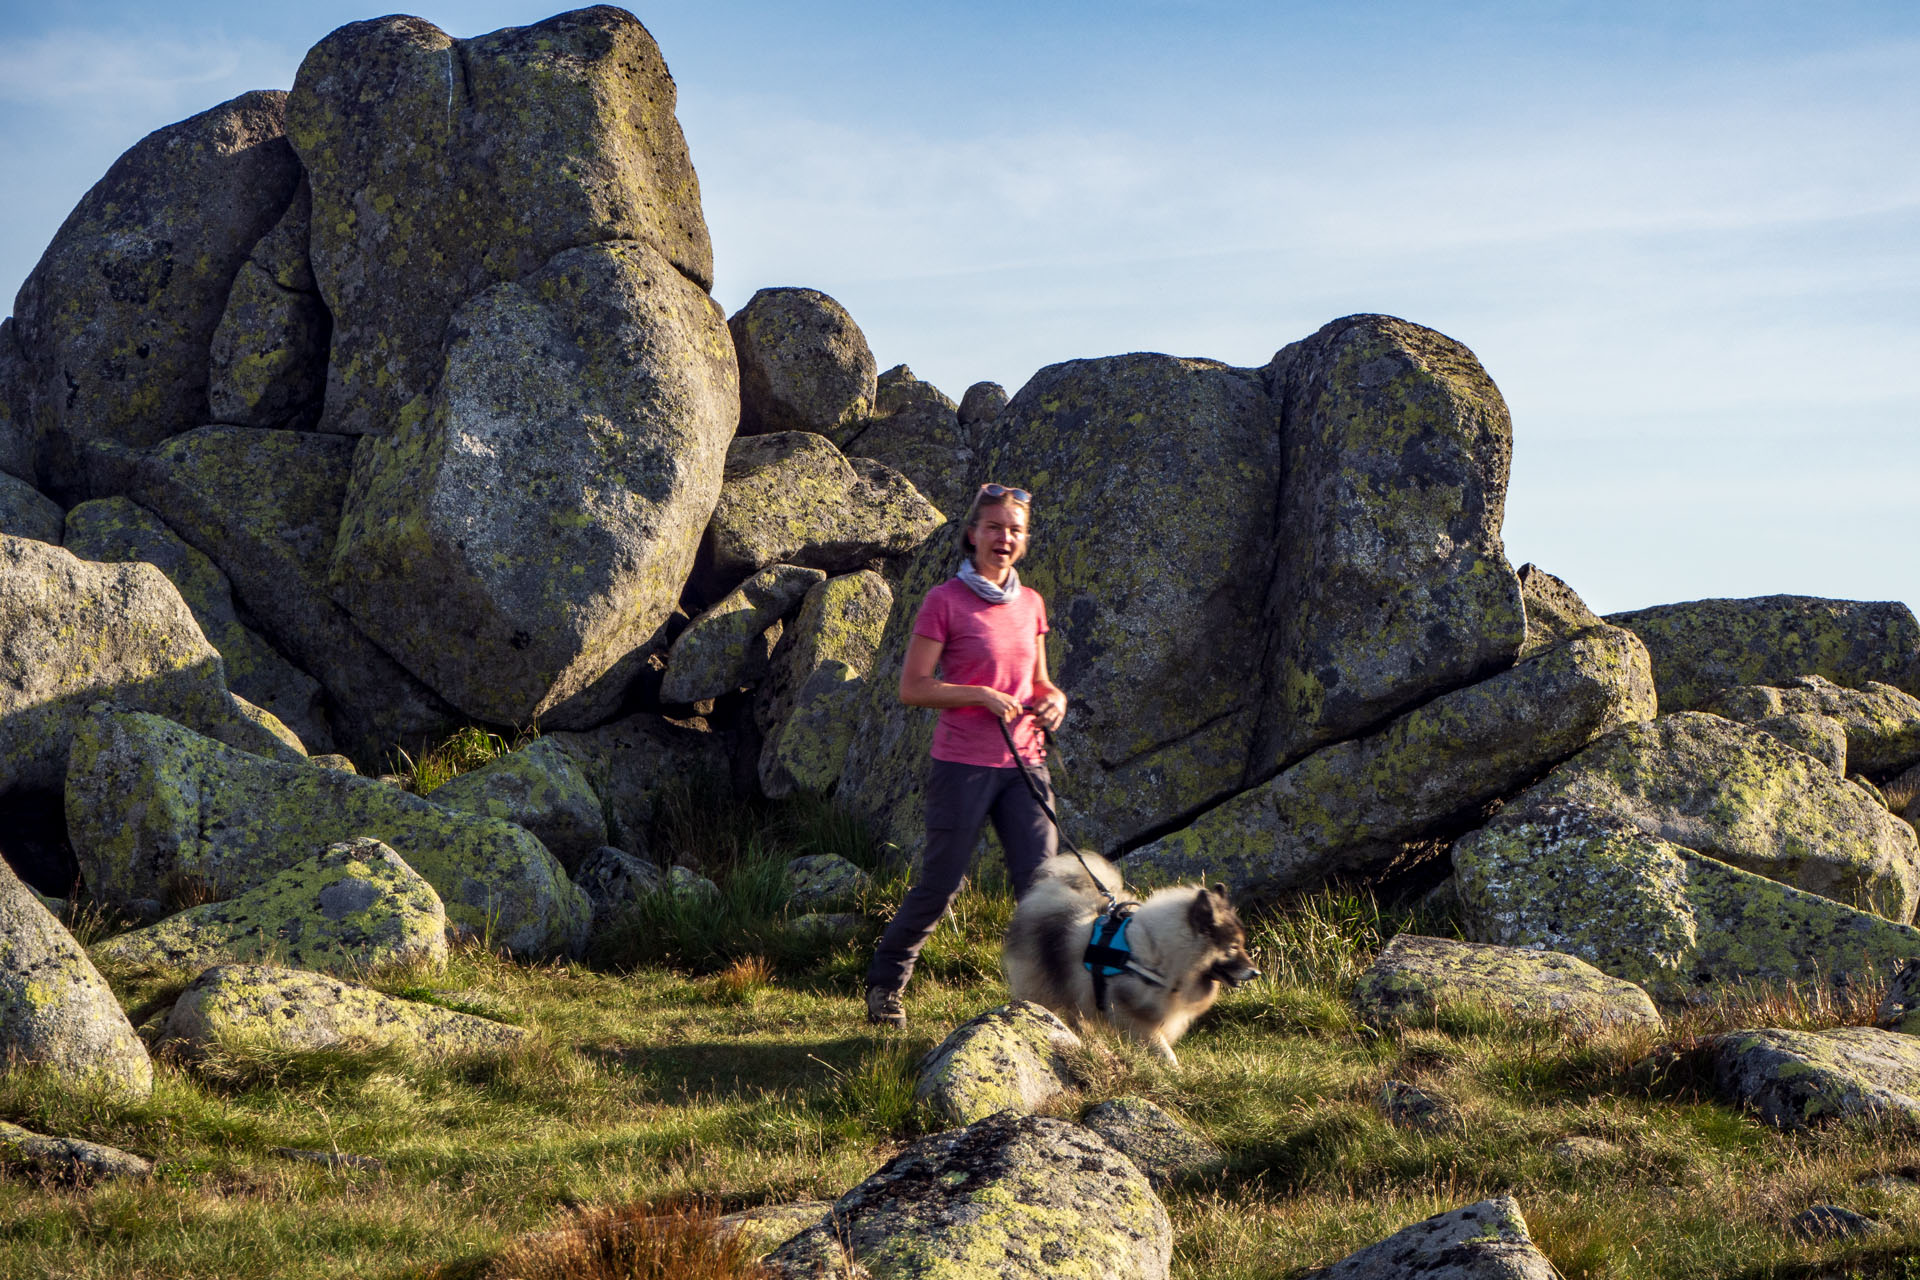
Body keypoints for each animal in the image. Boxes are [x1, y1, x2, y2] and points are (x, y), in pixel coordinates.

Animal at [1006, 852, 1259, 1059]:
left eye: (1241, 945)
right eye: (1232, 948)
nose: (1256, 972)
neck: (1161, 954)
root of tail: (1042, 895)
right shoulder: (1132, 1014)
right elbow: (1161, 1048)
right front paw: (1173, 1070)